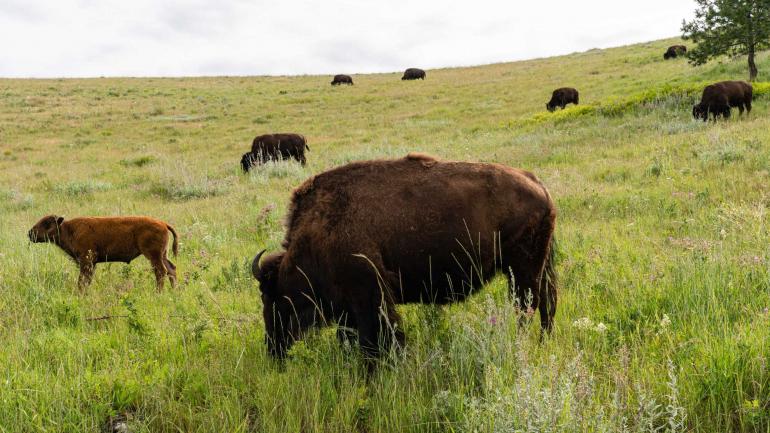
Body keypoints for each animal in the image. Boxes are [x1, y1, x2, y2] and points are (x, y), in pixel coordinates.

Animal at [28, 214, 178, 288]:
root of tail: (163, 224)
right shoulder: (91, 264)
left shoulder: (86, 262)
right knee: (171, 269)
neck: (69, 229)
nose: (30, 233)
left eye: (47, 223)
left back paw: (158, 292)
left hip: (153, 256)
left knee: (161, 272)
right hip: (163, 255)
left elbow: (82, 280)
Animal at [249, 153, 556, 362]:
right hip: (536, 268)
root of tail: (537, 183)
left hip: (523, 270)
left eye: (270, 297)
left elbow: (376, 337)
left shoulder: (369, 297)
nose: (272, 348)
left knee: (526, 307)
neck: (317, 230)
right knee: (546, 304)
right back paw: (543, 343)